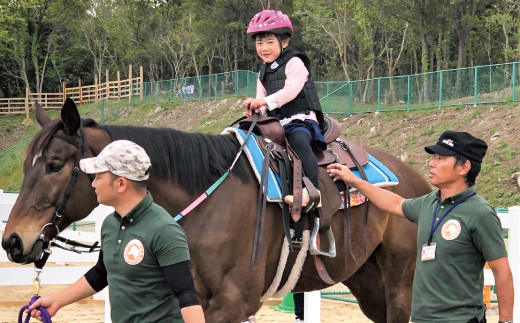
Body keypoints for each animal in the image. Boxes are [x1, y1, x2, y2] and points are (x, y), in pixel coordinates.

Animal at [1, 99, 430, 323]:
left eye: (55, 164)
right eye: (26, 165)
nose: (13, 241)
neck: (205, 202)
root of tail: (418, 182)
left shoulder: (232, 303)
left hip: (399, 281)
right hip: (366, 281)